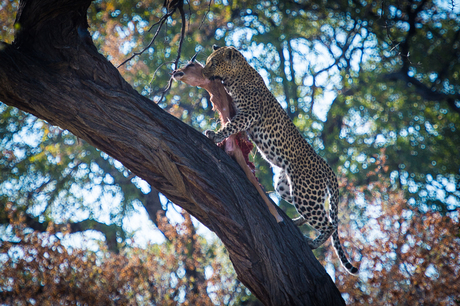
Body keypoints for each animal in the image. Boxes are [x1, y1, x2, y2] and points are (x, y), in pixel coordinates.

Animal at [202, 44, 360, 274]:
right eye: (207, 61)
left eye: (213, 63)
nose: (204, 72)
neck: (239, 74)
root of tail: (326, 165)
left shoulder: (249, 114)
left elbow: (230, 126)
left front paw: (215, 135)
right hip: (287, 187)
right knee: (320, 212)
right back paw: (297, 222)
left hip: (305, 193)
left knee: (330, 224)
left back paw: (313, 243)